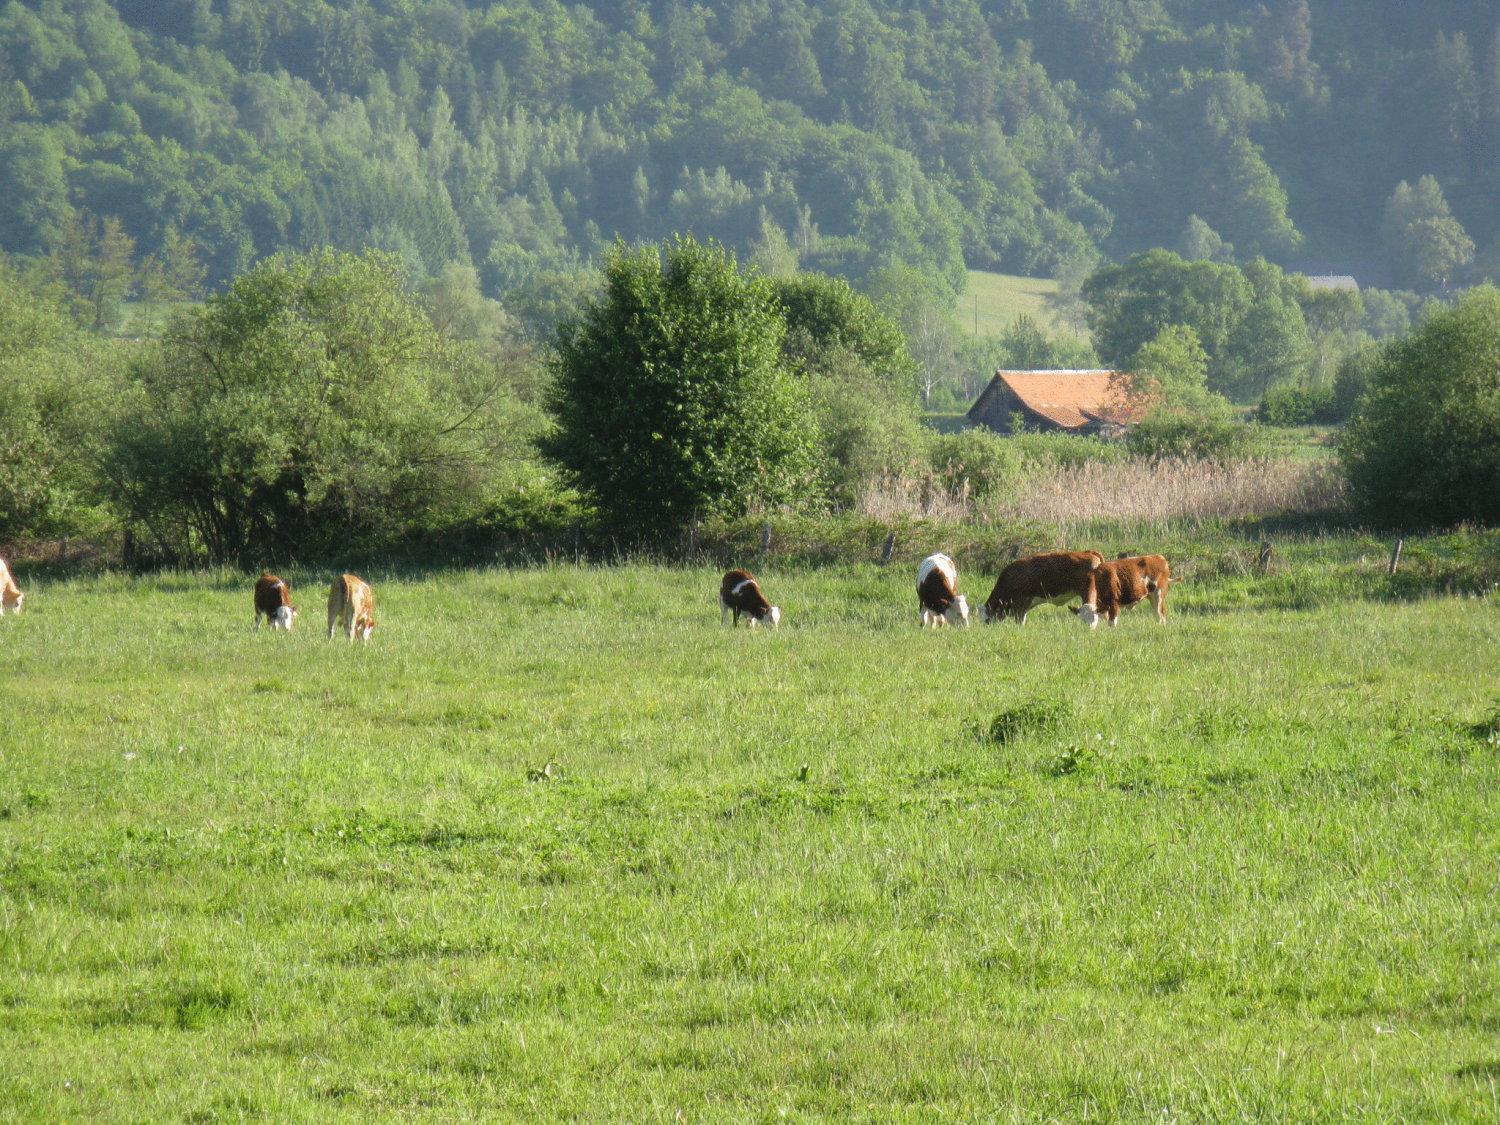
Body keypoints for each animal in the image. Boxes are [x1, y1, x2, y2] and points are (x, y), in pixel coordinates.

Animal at [978, 552, 1110, 627]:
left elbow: (1019, 622)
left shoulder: (1021, 604)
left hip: (1088, 591)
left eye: (986, 619)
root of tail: (1089, 553)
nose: (986, 628)